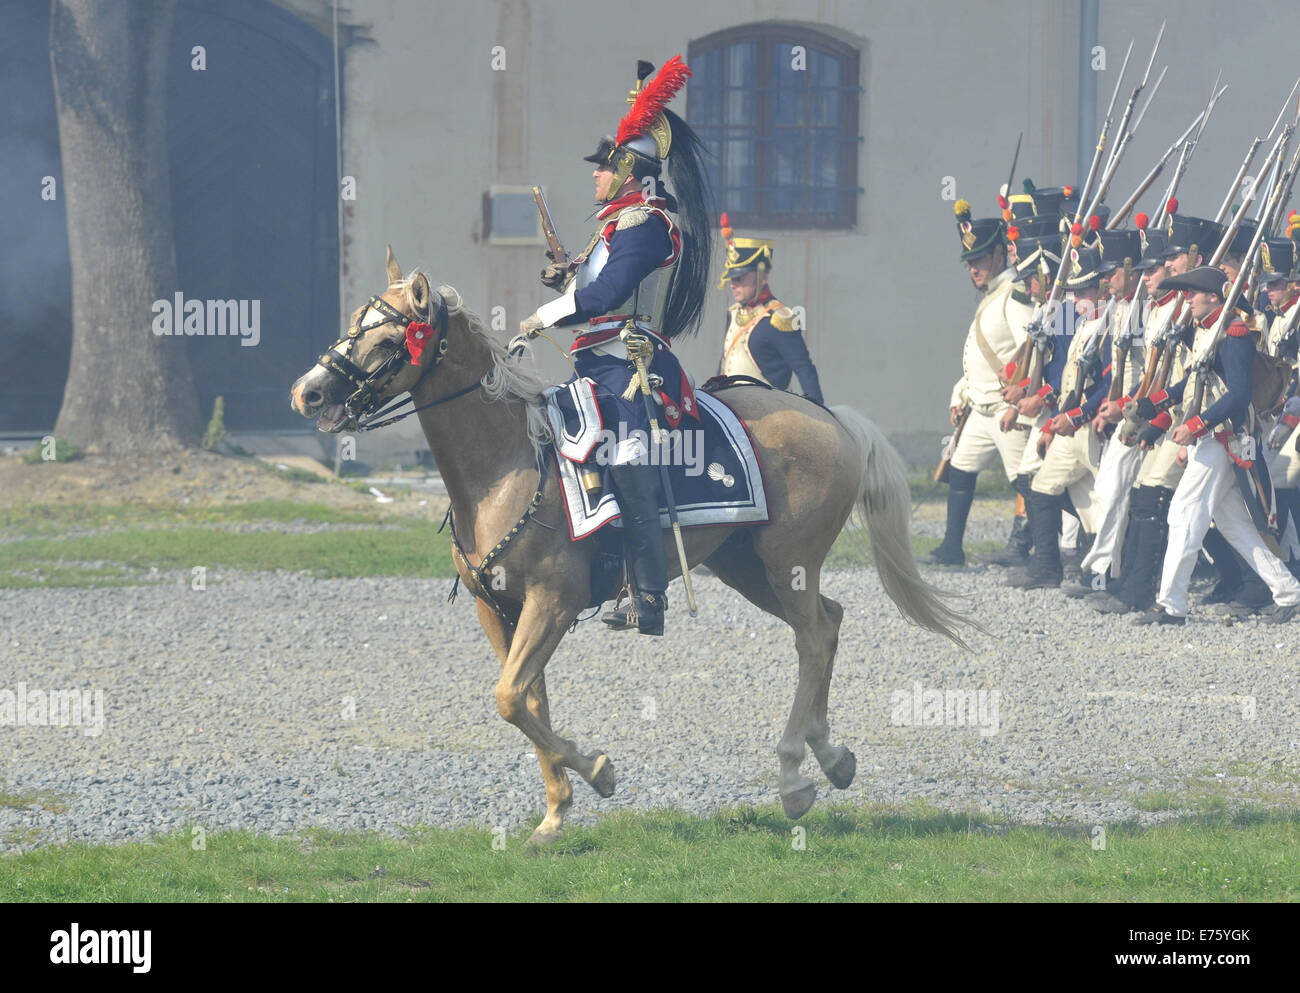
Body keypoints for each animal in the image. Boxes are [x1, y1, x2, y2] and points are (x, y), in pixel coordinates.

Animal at [287, 248, 977, 847]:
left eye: (385, 341)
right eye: (353, 325)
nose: (308, 392)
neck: (507, 465)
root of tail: (830, 418)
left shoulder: (553, 603)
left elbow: (510, 699)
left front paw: (599, 772)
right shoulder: (500, 610)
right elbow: (527, 700)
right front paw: (555, 815)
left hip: (789, 565)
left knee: (812, 638)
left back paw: (792, 776)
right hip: (746, 567)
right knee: (829, 624)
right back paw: (831, 758)